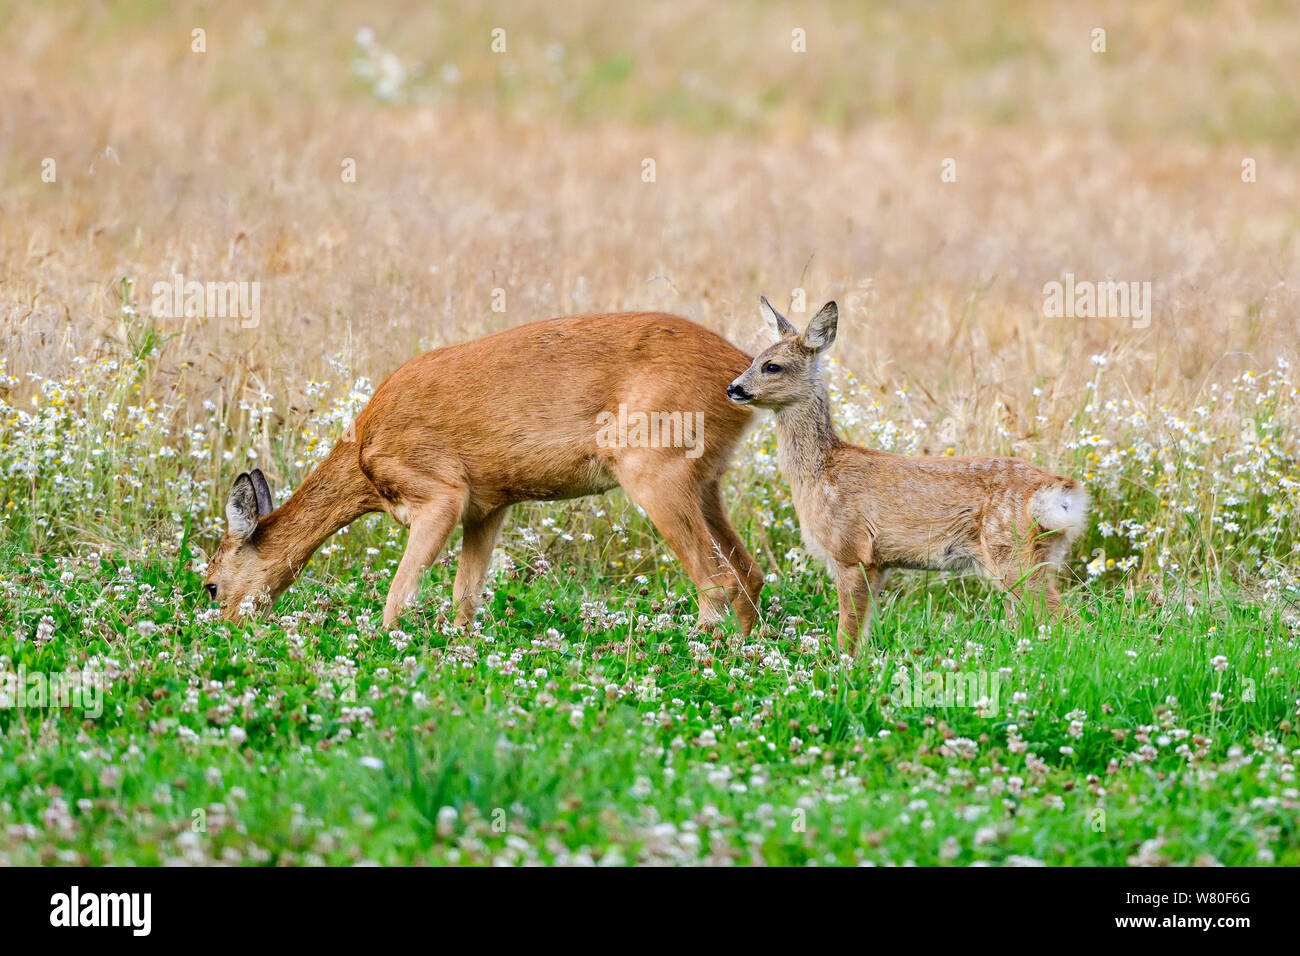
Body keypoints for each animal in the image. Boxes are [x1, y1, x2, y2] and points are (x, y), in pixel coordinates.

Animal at [205, 310, 759, 632]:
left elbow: (399, 595)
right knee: (749, 574)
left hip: (652, 469)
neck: (364, 456)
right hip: (705, 481)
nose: (224, 629)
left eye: (209, 584)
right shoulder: (488, 506)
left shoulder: (440, 492)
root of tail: (740, 370)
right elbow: (464, 597)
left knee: (717, 581)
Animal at [733, 297, 1086, 658]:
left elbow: (848, 632)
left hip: (1012, 550)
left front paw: (840, 664)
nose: (734, 388)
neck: (819, 474)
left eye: (772, 366)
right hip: (1035, 555)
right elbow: (864, 628)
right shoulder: (878, 563)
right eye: (754, 359)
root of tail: (1061, 492)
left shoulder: (851, 551)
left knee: (1068, 619)